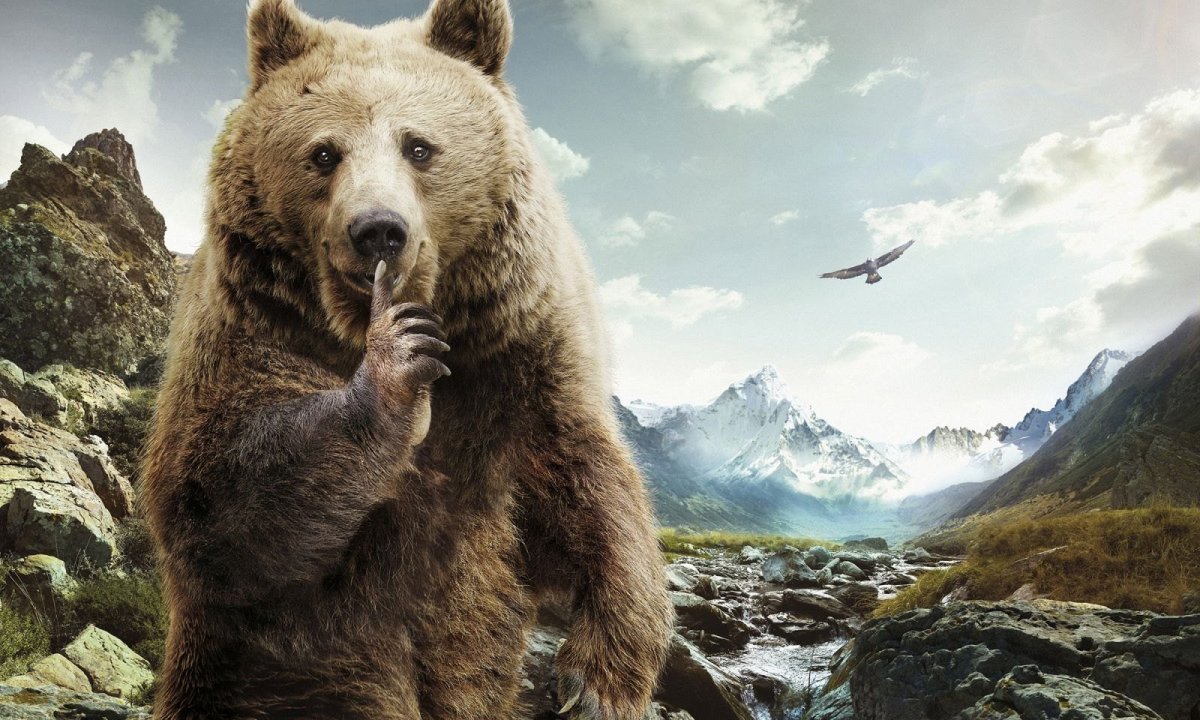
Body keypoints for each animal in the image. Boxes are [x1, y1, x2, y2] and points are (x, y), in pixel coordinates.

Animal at [142, 0, 673, 718]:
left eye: (418, 146)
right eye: (324, 153)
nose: (377, 230)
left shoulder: (523, 355)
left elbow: (590, 485)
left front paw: (595, 682)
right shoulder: (247, 333)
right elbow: (216, 503)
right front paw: (395, 367)